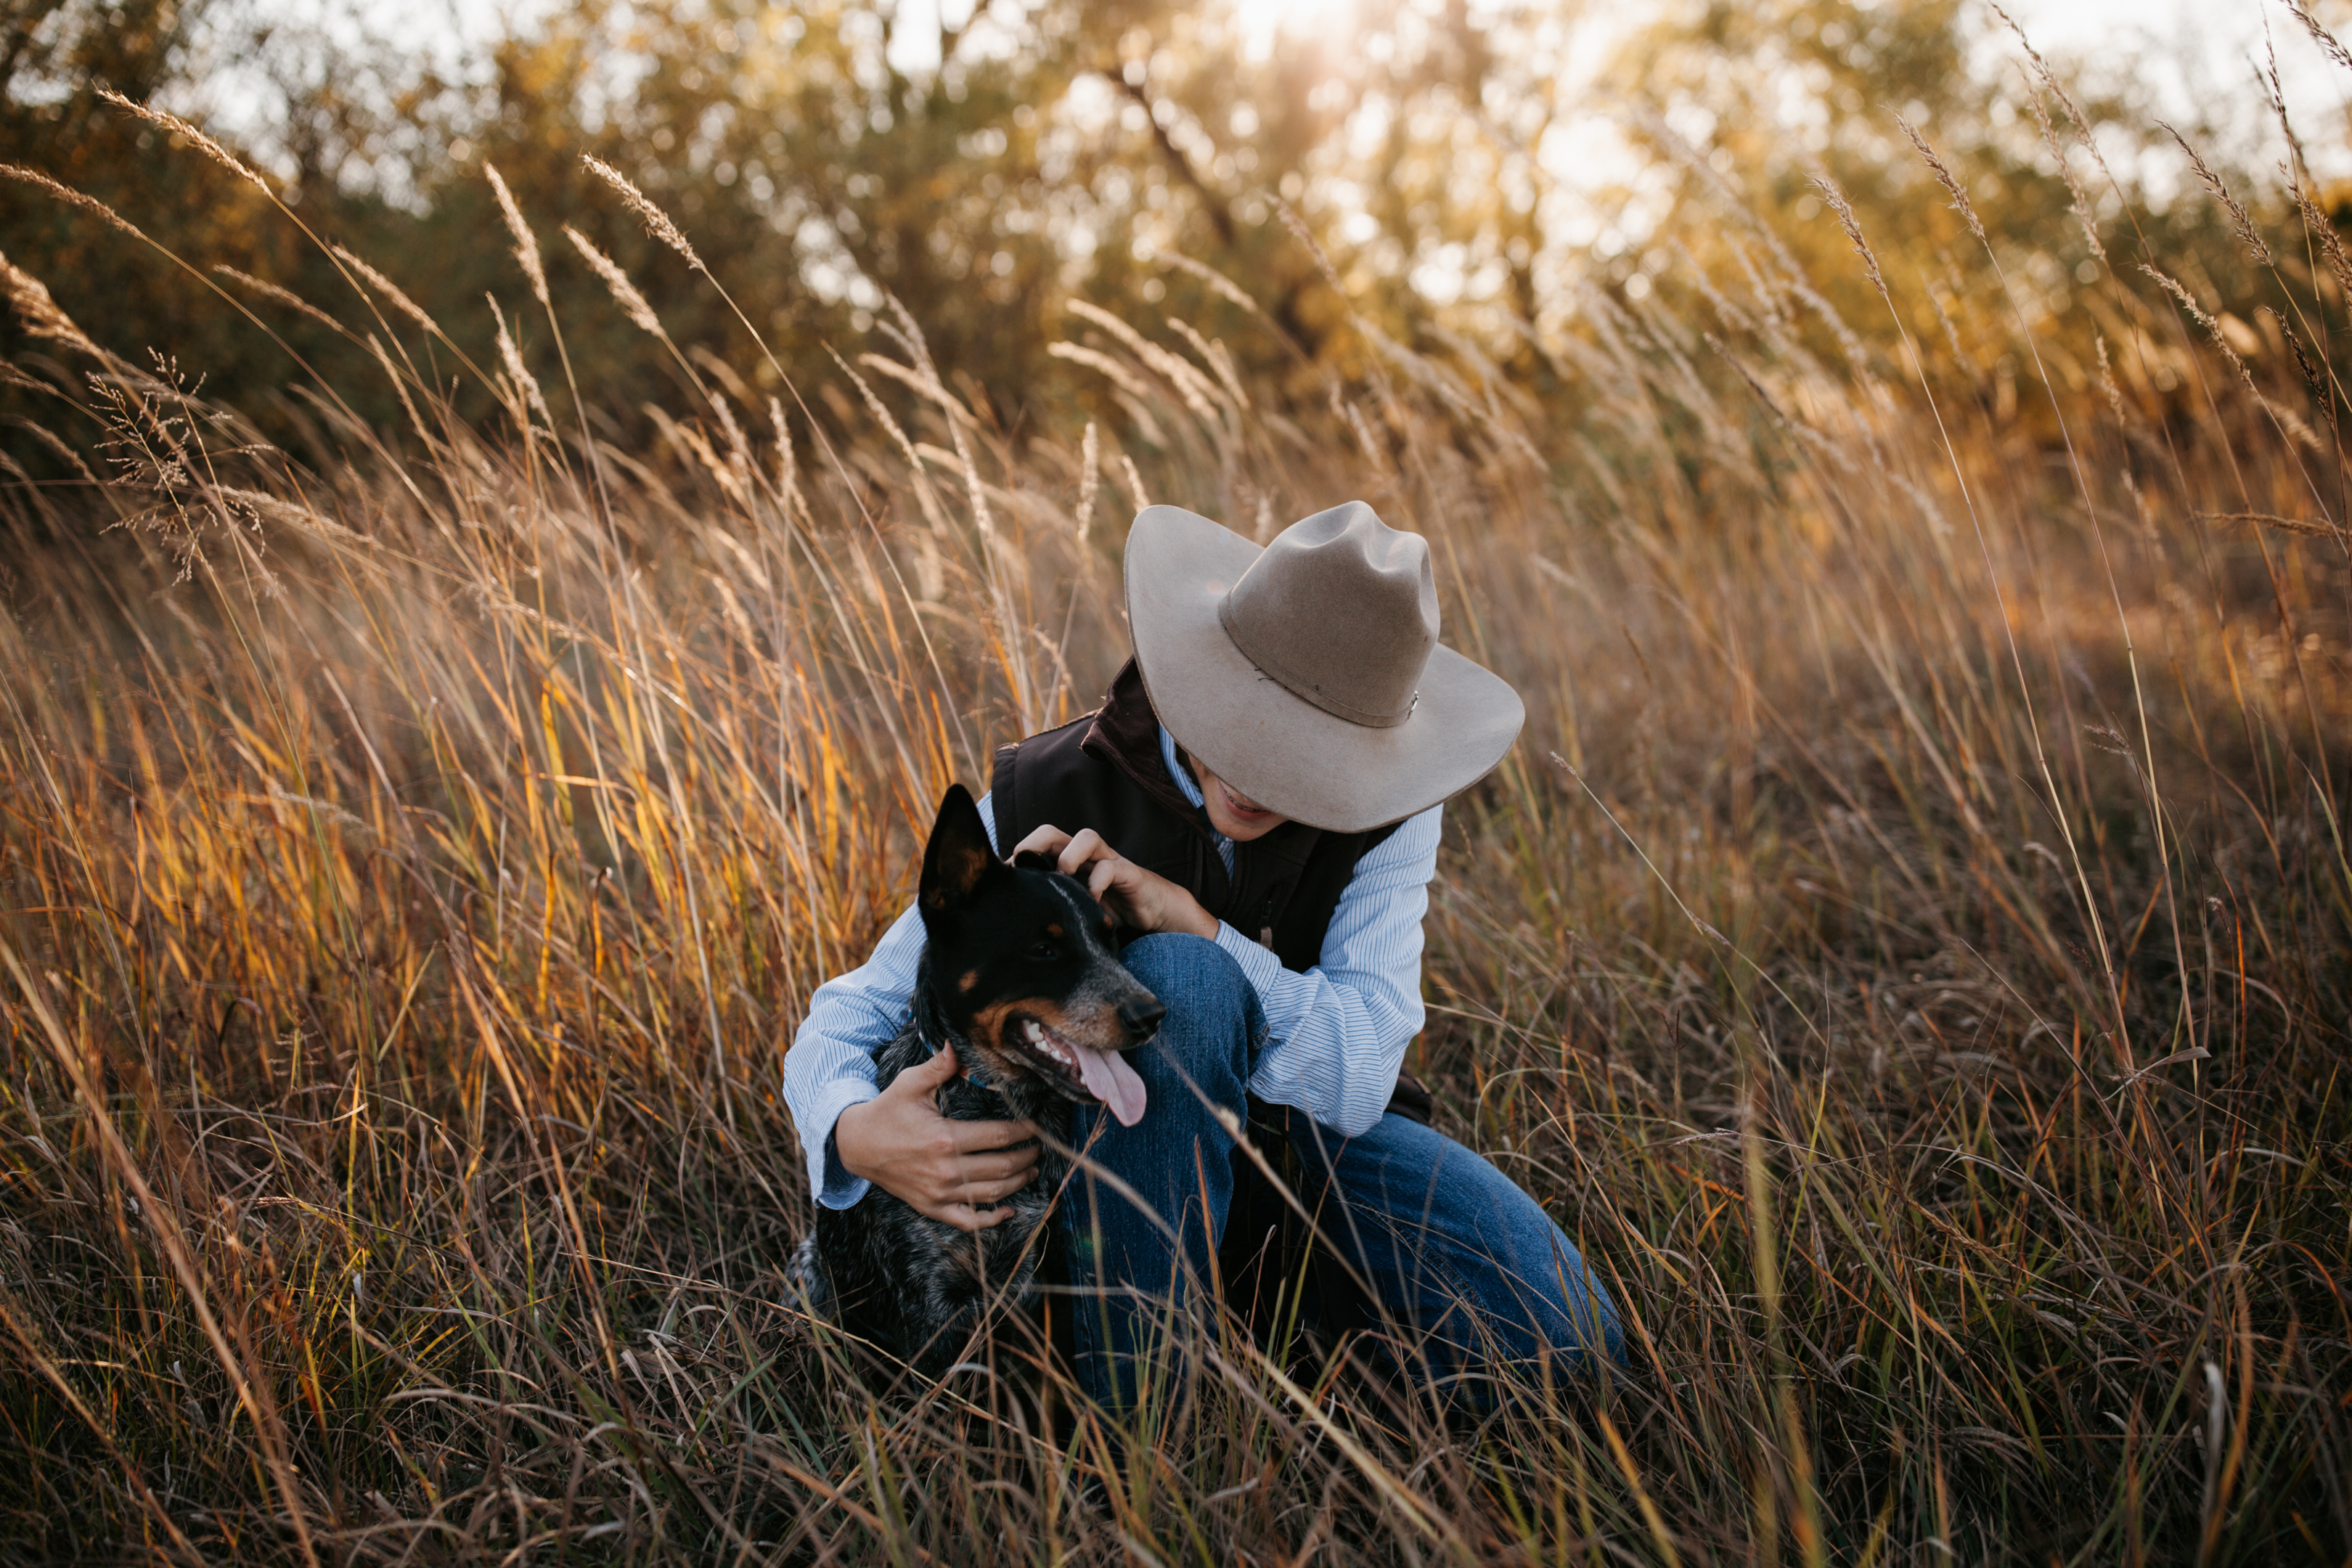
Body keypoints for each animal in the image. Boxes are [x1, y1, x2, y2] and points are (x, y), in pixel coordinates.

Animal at [785, 785, 1161, 1373]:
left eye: (1113, 939)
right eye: (1043, 948)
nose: (1152, 1014)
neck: (999, 1099)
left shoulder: (1050, 1278)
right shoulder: (932, 1314)